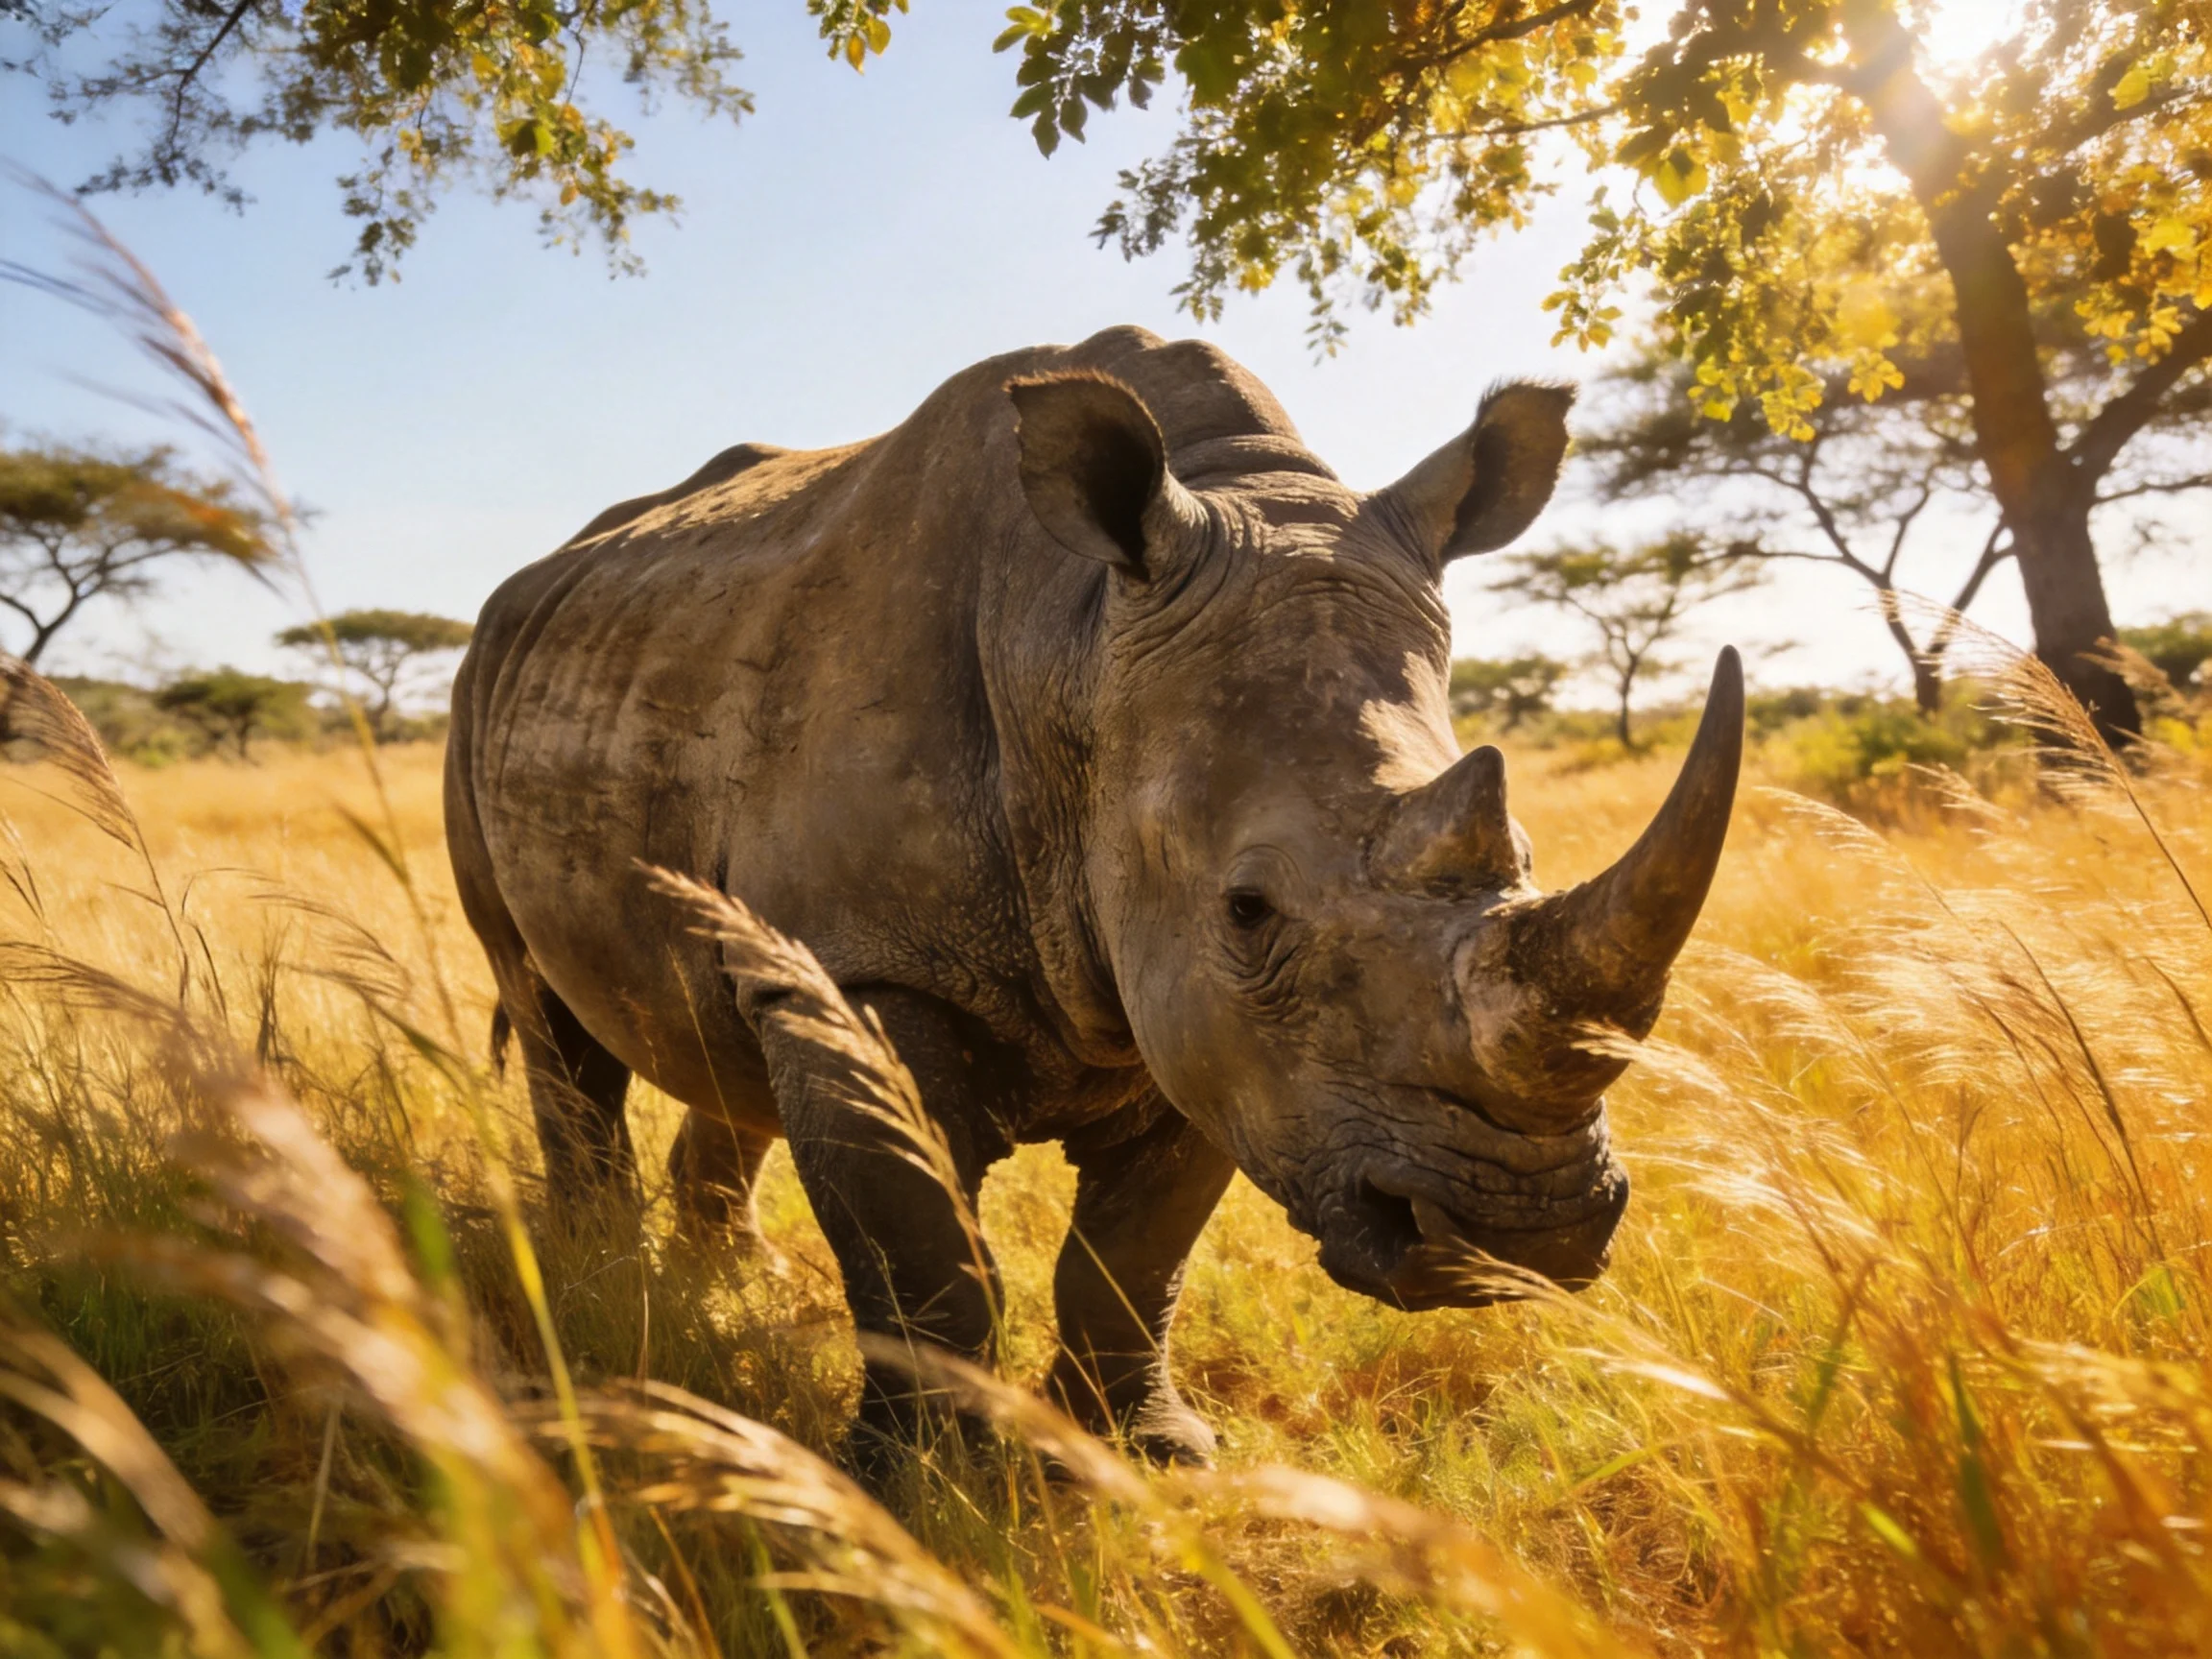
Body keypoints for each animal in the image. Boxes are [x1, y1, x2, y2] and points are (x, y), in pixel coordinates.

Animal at [447, 325, 1741, 1464]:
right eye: (1249, 909)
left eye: (1522, 852)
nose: (1528, 1228)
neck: (1072, 642)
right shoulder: (881, 959)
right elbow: (919, 1248)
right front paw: (915, 1483)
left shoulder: (1210, 1030)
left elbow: (1134, 1254)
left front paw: (1149, 1456)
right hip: (479, 693)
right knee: (552, 1021)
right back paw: (604, 1292)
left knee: (727, 1024)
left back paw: (725, 1285)